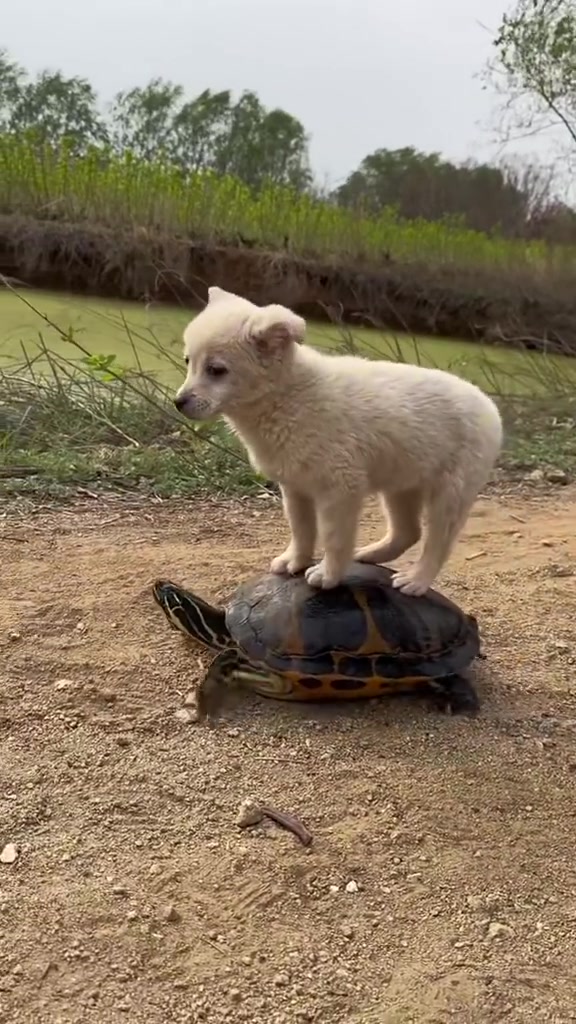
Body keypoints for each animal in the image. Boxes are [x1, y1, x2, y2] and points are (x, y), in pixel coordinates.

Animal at [175, 284, 502, 598]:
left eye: (216, 370)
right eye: (189, 361)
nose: (178, 403)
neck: (286, 395)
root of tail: (489, 406)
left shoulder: (341, 488)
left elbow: (333, 537)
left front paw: (327, 575)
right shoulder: (295, 486)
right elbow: (301, 529)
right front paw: (295, 561)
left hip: (451, 492)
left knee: (438, 542)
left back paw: (416, 580)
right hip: (402, 484)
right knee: (408, 532)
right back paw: (371, 554)